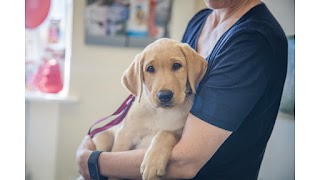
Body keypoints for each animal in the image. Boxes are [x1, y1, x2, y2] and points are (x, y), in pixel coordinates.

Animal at [92, 38, 208, 180]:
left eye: (176, 66)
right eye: (150, 68)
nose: (164, 95)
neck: (161, 112)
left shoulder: (180, 134)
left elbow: (165, 133)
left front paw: (153, 163)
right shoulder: (125, 135)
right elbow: (115, 163)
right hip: (103, 136)